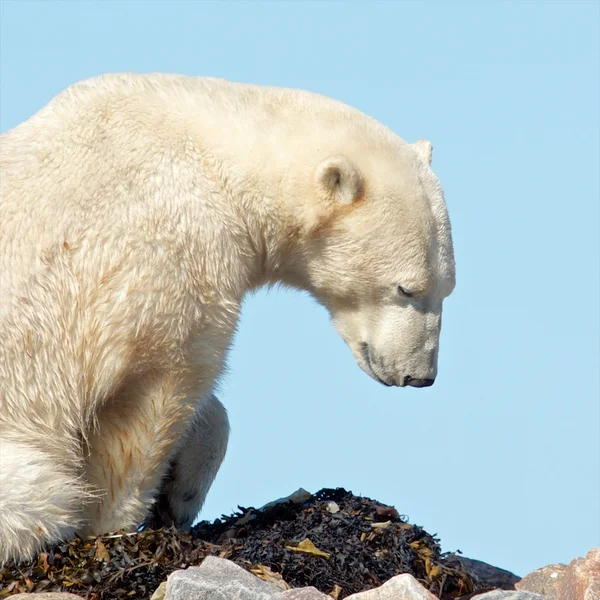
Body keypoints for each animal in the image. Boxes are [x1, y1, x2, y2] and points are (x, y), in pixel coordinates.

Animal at [0, 72, 458, 564]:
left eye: (447, 288)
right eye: (406, 289)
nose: (420, 376)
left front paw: (181, 490)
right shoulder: (172, 254)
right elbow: (157, 391)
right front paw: (118, 523)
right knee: (39, 490)